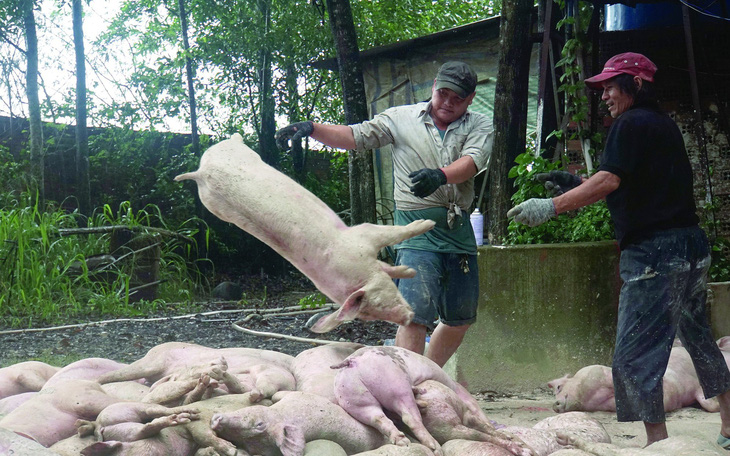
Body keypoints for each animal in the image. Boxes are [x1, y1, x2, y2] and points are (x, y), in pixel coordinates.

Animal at [175, 134, 438, 334]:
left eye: (379, 301)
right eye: (372, 313)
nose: (408, 318)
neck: (356, 273)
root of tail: (201, 171)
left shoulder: (361, 237)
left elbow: (390, 241)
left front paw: (428, 225)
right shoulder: (360, 242)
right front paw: (412, 267)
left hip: (234, 161)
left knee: (236, 140)